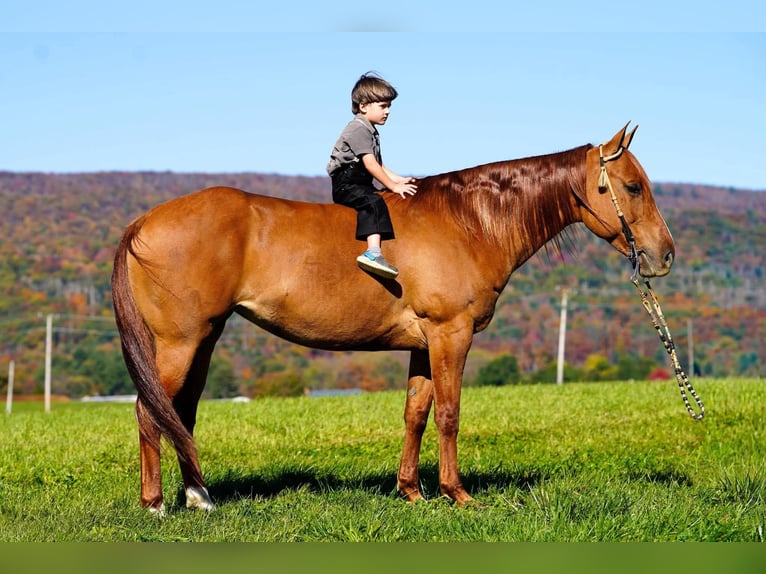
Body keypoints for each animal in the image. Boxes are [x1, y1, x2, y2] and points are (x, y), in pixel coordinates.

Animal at [111, 123, 675, 513]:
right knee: (149, 411)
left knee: (179, 413)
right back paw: (155, 504)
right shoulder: (451, 334)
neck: (468, 221)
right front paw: (456, 494)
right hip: (180, 343)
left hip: (203, 340)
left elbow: (416, 414)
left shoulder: (423, 345)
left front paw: (412, 491)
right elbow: (449, 414)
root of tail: (143, 222)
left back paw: (198, 497)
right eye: (632, 186)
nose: (665, 255)